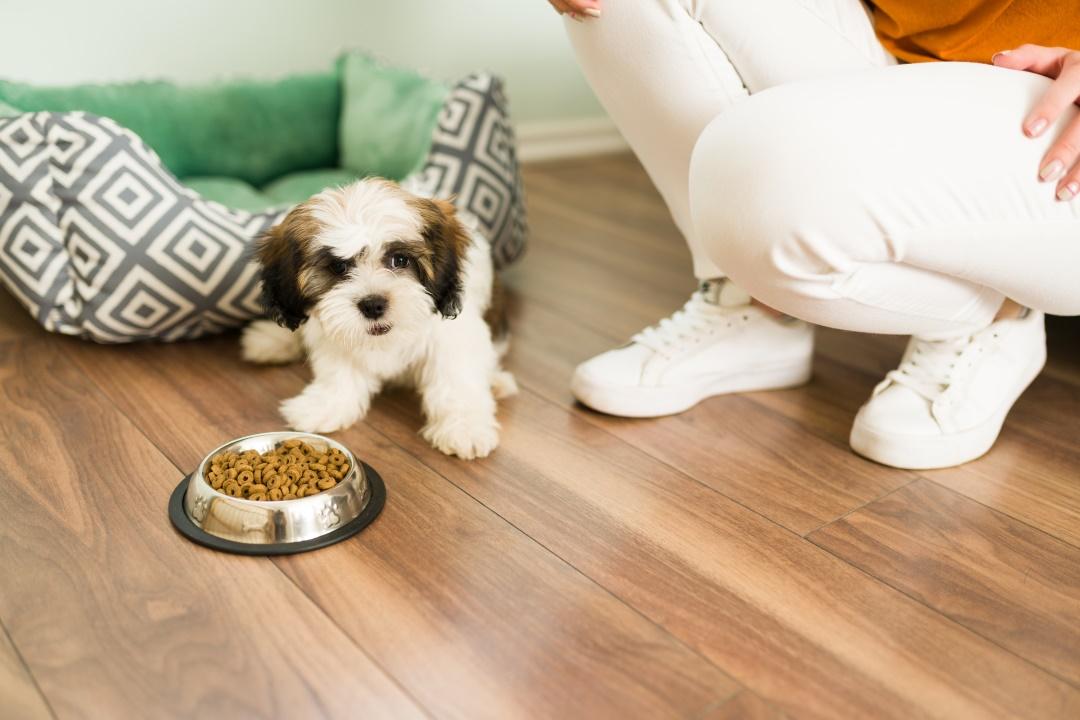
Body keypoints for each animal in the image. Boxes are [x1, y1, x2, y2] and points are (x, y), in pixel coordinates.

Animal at [241, 180, 518, 462]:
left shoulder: (453, 336)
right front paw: (326, 405)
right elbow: (338, 371)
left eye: (400, 260)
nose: (372, 304)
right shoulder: (335, 331)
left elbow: (455, 379)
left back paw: (497, 382)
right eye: (339, 267)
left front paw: (464, 428)